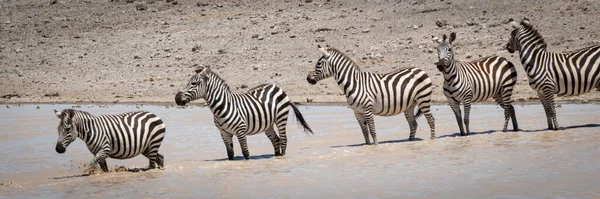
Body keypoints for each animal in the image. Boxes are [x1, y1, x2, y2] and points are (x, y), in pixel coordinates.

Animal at [173, 65, 314, 160]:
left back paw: (282, 157)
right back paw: (276, 156)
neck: (222, 106)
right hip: (268, 124)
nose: (176, 98)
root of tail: (277, 87)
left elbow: (245, 153)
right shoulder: (224, 133)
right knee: (276, 140)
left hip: (281, 118)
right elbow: (230, 155)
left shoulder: (240, 131)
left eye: (193, 83)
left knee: (284, 140)